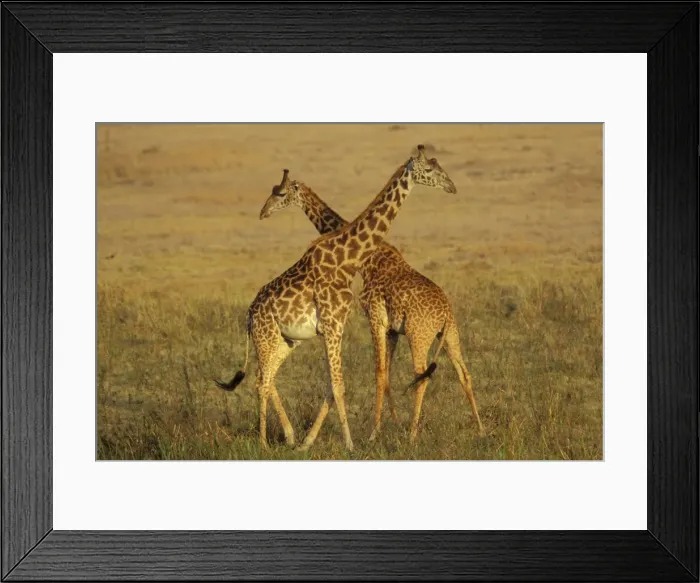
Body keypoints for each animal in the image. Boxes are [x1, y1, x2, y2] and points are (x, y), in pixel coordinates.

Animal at [215, 145, 457, 452]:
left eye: (439, 167)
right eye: (428, 170)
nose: (452, 187)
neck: (348, 260)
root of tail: (248, 315)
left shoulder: (339, 326)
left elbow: (334, 386)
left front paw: (312, 442)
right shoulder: (333, 325)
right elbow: (340, 385)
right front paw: (351, 444)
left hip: (285, 341)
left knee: (265, 379)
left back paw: (289, 436)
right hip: (266, 337)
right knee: (262, 382)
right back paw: (264, 443)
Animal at [258, 167, 485, 443]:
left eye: (280, 193)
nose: (264, 212)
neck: (366, 259)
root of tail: (445, 312)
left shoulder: (374, 316)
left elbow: (379, 373)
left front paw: (375, 432)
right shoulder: (391, 329)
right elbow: (386, 374)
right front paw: (393, 423)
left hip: (418, 334)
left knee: (421, 375)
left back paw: (413, 435)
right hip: (450, 334)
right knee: (464, 374)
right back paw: (480, 429)